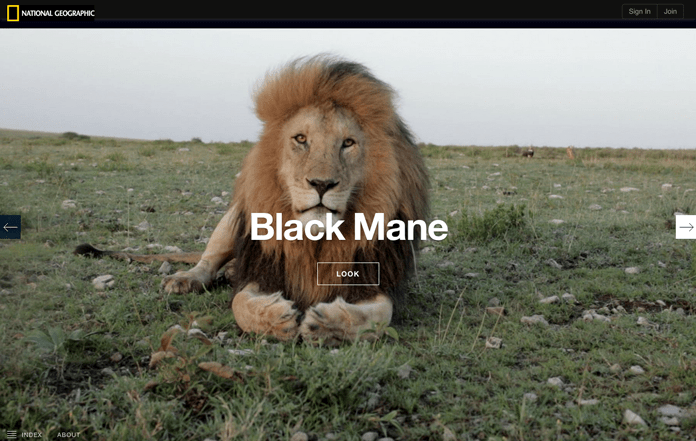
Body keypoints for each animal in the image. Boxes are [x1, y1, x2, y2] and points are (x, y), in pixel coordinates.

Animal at [76, 56, 429, 345]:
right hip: (231, 220)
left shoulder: (375, 279)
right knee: (207, 262)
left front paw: (326, 324)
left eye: (348, 143)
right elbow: (240, 304)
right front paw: (277, 319)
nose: (322, 184)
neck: (314, 242)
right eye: (301, 139)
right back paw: (185, 280)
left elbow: (379, 316)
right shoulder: (261, 269)